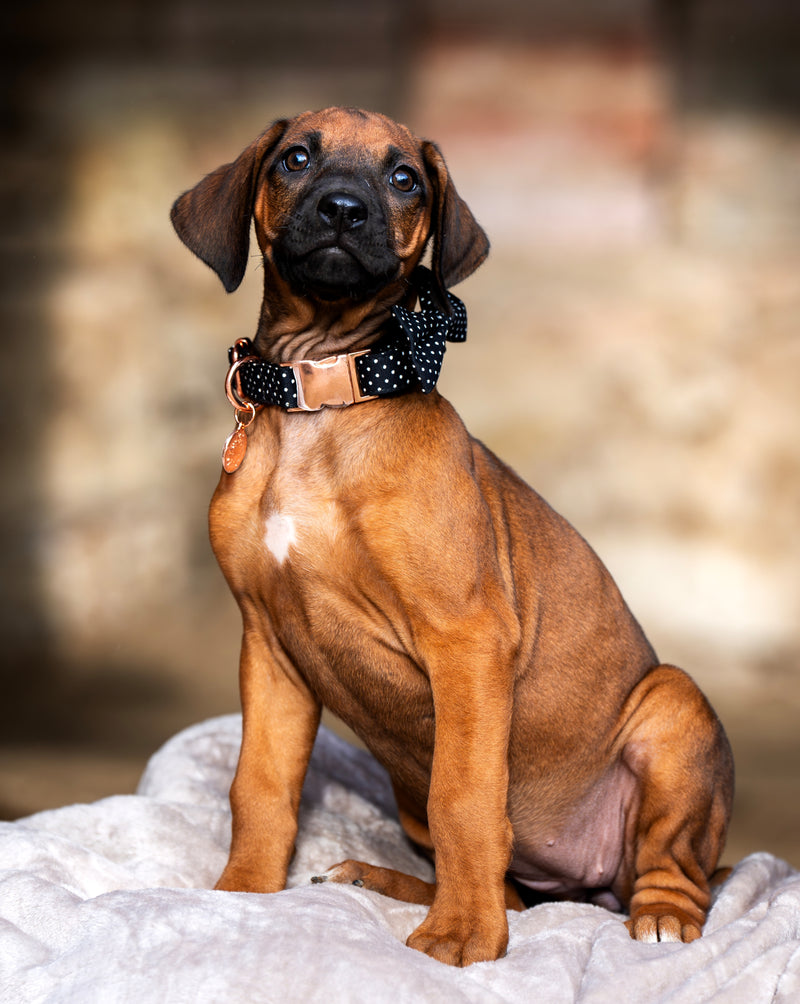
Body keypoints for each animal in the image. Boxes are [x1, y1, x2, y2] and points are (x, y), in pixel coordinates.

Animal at [171, 107, 734, 963]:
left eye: (405, 178)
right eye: (295, 159)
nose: (342, 211)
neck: (322, 401)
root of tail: (583, 881)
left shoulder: (466, 639)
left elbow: (465, 799)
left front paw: (463, 935)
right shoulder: (268, 645)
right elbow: (259, 785)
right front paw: (242, 895)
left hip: (671, 710)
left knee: (670, 866)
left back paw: (659, 919)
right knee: (517, 891)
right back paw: (380, 878)